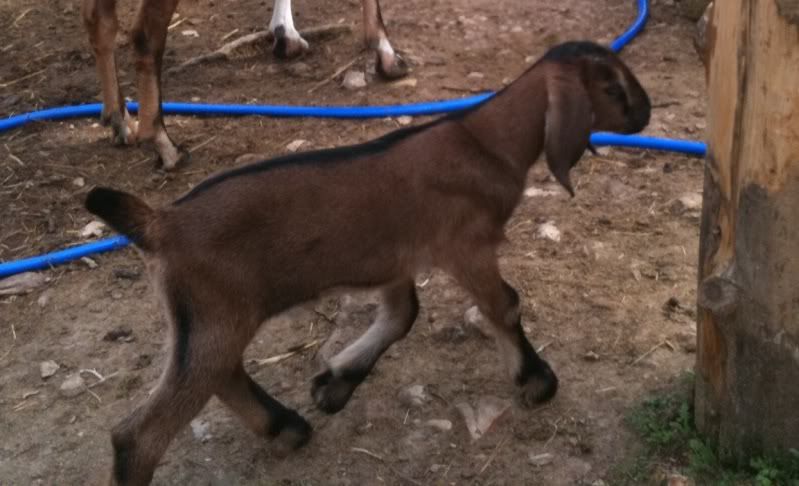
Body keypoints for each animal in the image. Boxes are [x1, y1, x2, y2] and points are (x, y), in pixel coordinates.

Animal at [81, 0, 408, 170]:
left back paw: (119, 119)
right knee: (144, 36)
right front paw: (385, 53)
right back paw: (162, 142)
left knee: (98, 18)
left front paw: (284, 35)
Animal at [84, 41, 650, 485]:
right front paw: (536, 381)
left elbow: (402, 316)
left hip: (206, 321)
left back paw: (287, 427)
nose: (645, 115)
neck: (485, 140)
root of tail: (158, 223)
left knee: (219, 375)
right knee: (140, 433)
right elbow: (504, 306)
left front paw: (335, 382)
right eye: (613, 87)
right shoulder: (465, 246)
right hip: (216, 314)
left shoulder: (397, 261)